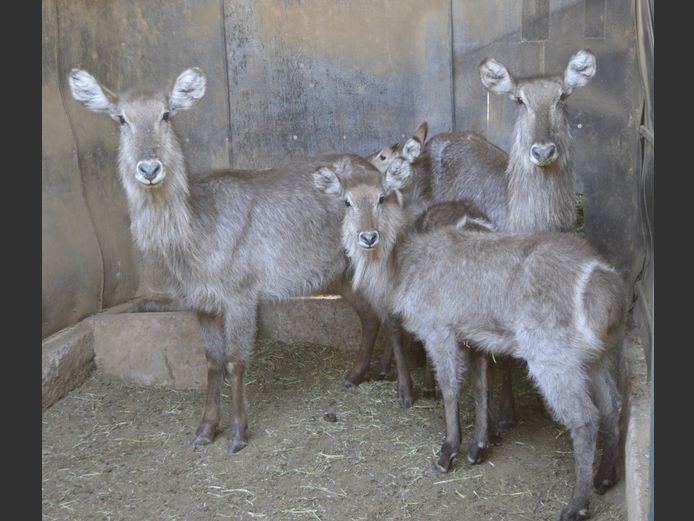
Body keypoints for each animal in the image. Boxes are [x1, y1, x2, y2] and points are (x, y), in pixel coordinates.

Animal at [68, 68, 414, 450]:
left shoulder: (241, 293)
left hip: (376, 256)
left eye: (166, 114)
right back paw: (354, 374)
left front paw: (237, 433)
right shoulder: (201, 302)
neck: (194, 239)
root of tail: (388, 183)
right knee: (369, 316)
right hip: (341, 272)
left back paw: (404, 392)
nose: (148, 167)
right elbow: (211, 362)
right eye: (121, 118)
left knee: (392, 317)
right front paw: (204, 430)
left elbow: (235, 361)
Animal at [316, 158, 624, 520]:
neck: (402, 265)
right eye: (347, 201)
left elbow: (450, 387)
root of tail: (606, 286)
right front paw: (477, 445)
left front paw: (447, 452)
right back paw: (605, 478)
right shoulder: (474, 336)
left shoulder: (438, 329)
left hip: (553, 358)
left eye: (381, 196)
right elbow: (480, 386)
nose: (368, 236)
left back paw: (576, 505)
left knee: (585, 419)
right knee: (613, 404)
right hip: (597, 355)